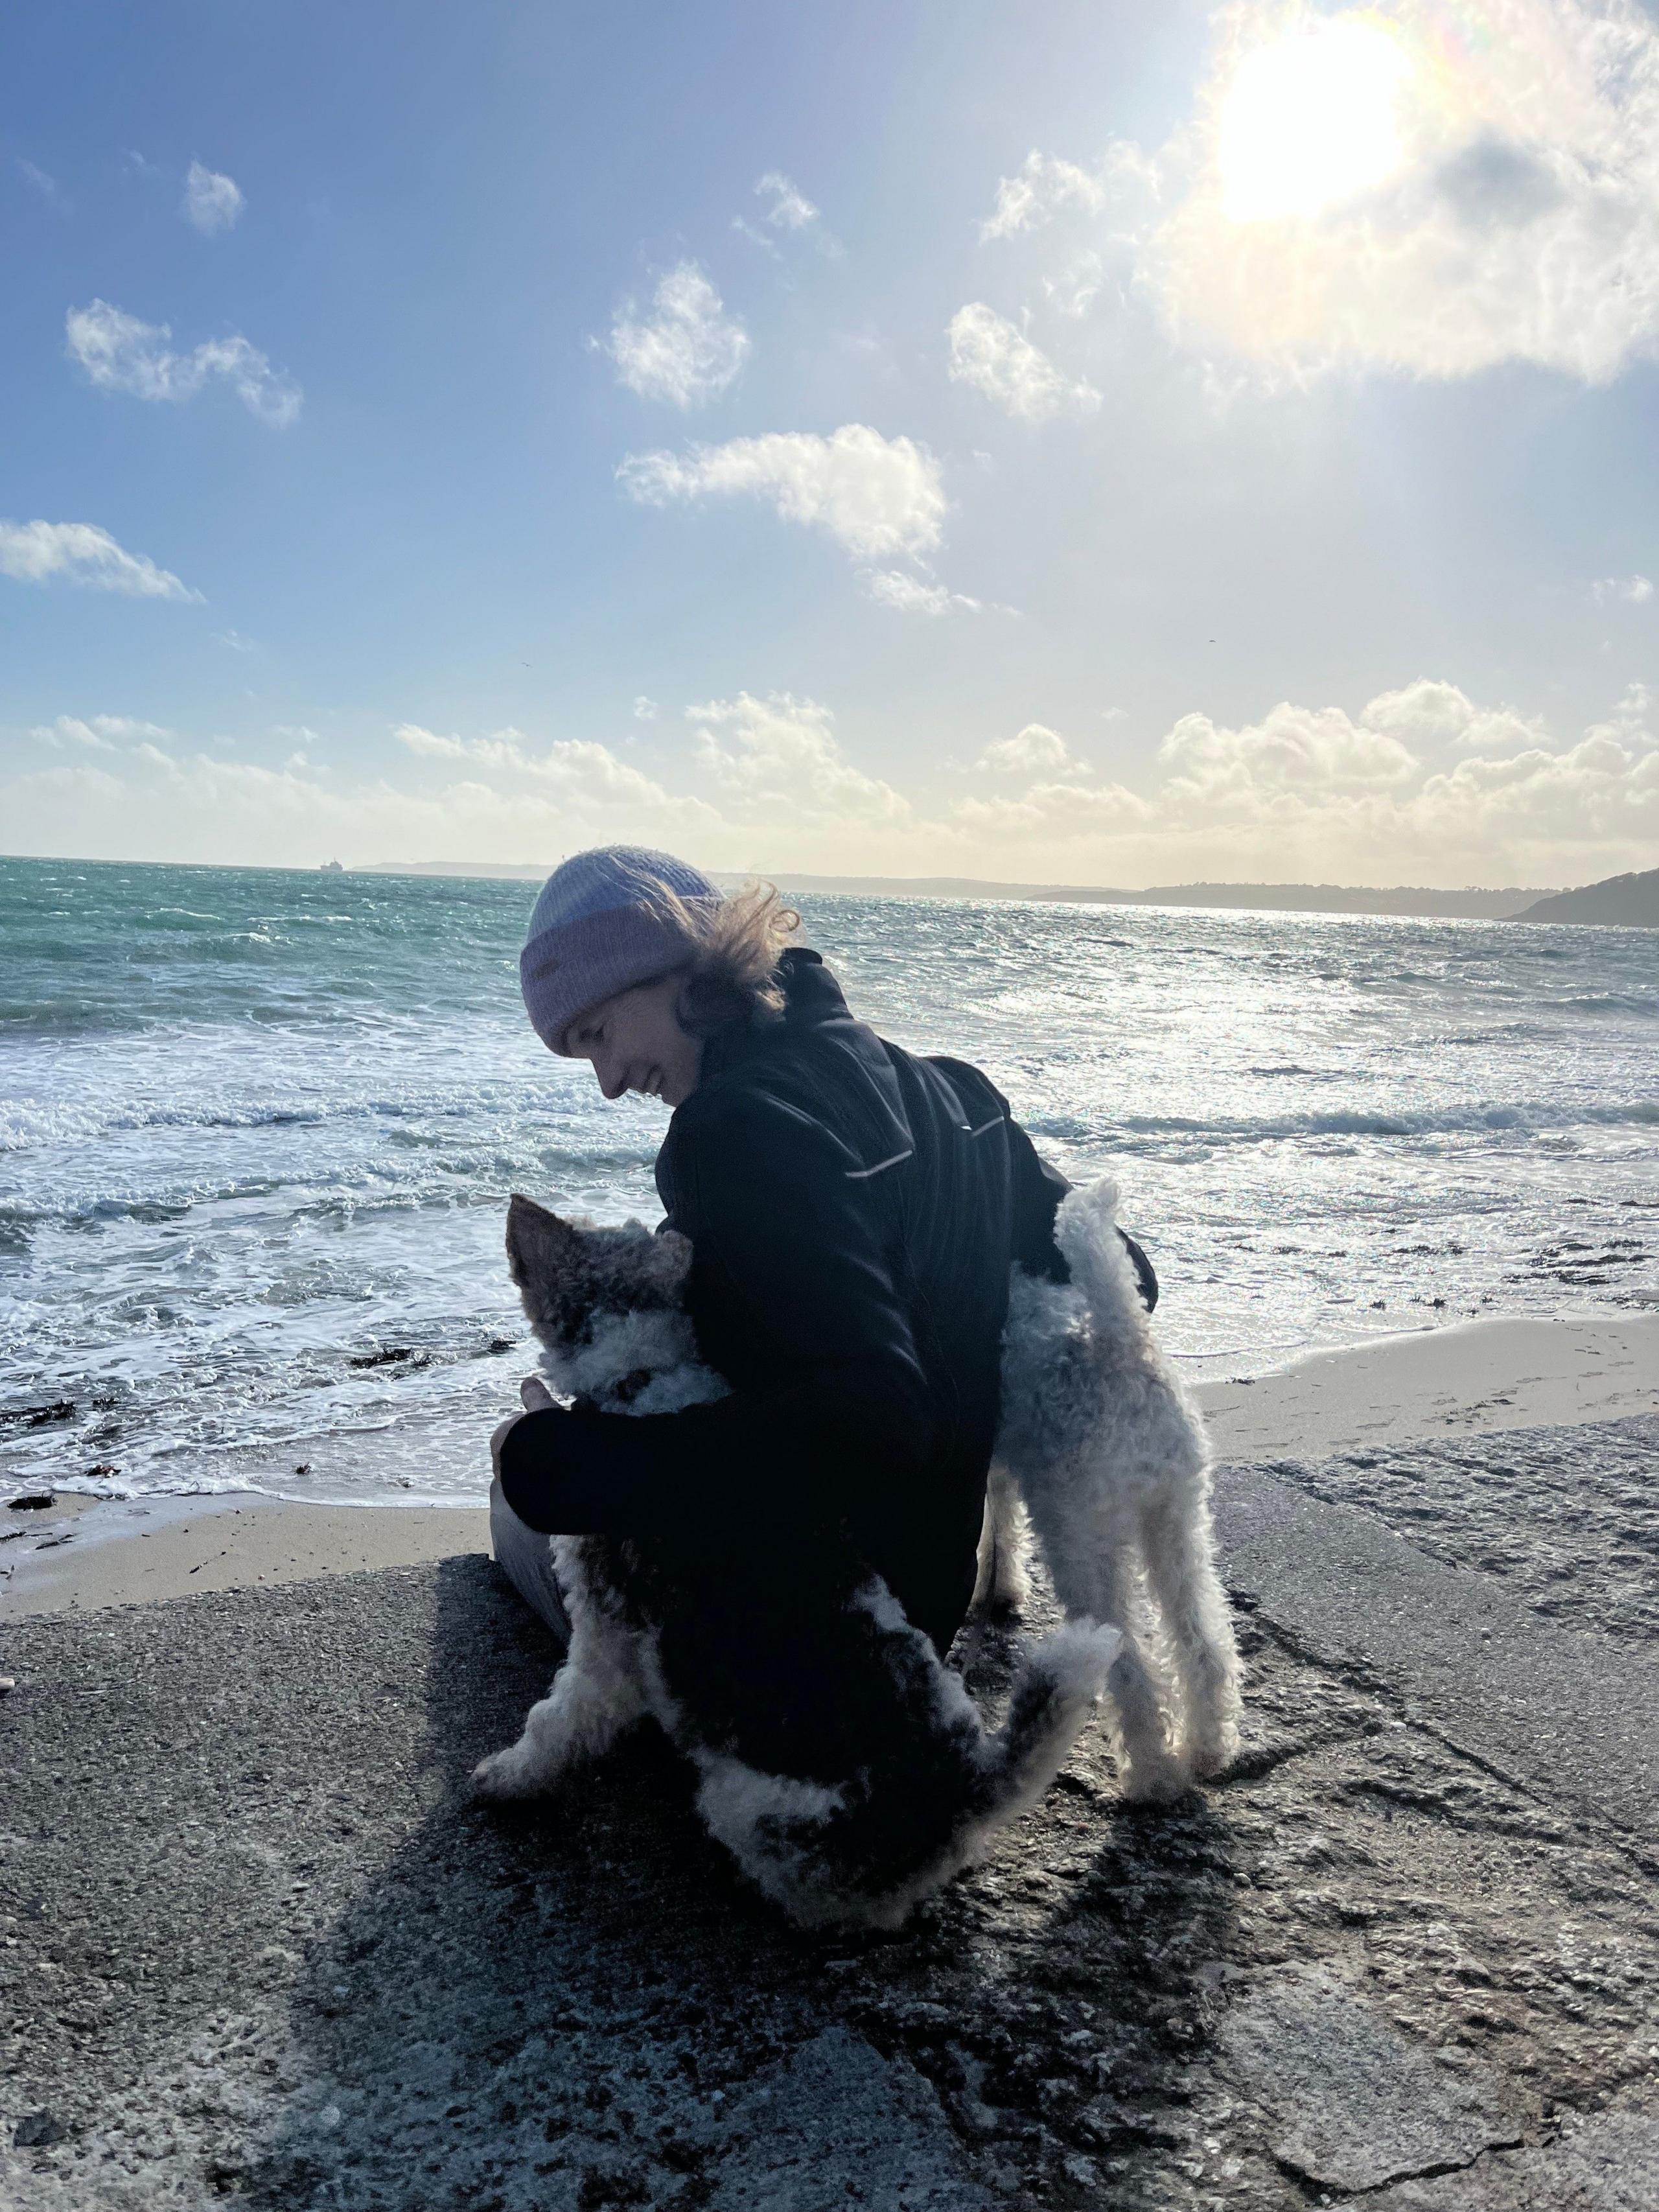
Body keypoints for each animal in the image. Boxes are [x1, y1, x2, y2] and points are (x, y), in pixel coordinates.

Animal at [473, 1185, 1238, 1929]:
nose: (521, 1210)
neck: (643, 1380)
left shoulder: (602, 1636)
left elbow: (557, 1719)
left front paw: (505, 1776)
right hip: (1176, 1517)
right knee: (1202, 1639)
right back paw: (1205, 1747)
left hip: (1079, 1534)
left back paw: (1150, 1777)